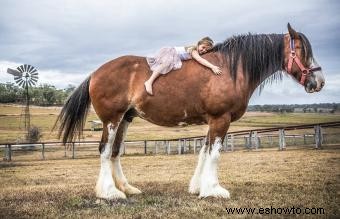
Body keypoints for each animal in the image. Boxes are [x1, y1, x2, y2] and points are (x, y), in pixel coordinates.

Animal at [55, 24, 324, 200]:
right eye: (303, 51)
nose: (319, 82)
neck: (231, 69)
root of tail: (96, 73)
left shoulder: (213, 121)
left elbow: (204, 152)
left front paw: (198, 188)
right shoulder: (221, 119)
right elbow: (214, 154)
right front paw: (214, 190)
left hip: (125, 119)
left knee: (115, 152)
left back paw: (127, 189)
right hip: (111, 119)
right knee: (104, 150)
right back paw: (110, 193)